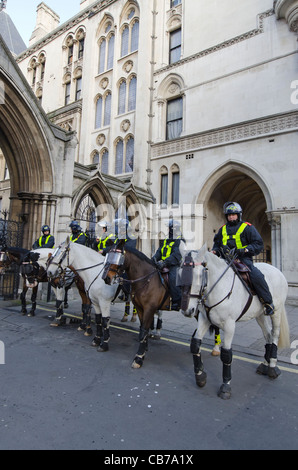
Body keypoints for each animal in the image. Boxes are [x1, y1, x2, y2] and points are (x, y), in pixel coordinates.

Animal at [180, 246, 290, 400]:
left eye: (198, 276)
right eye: (180, 273)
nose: (187, 310)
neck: (218, 287)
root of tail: (276, 270)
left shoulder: (229, 325)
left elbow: (226, 354)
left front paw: (225, 386)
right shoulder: (204, 319)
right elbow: (195, 345)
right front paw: (200, 376)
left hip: (276, 311)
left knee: (274, 333)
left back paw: (273, 366)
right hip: (259, 314)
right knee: (267, 334)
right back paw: (265, 364)